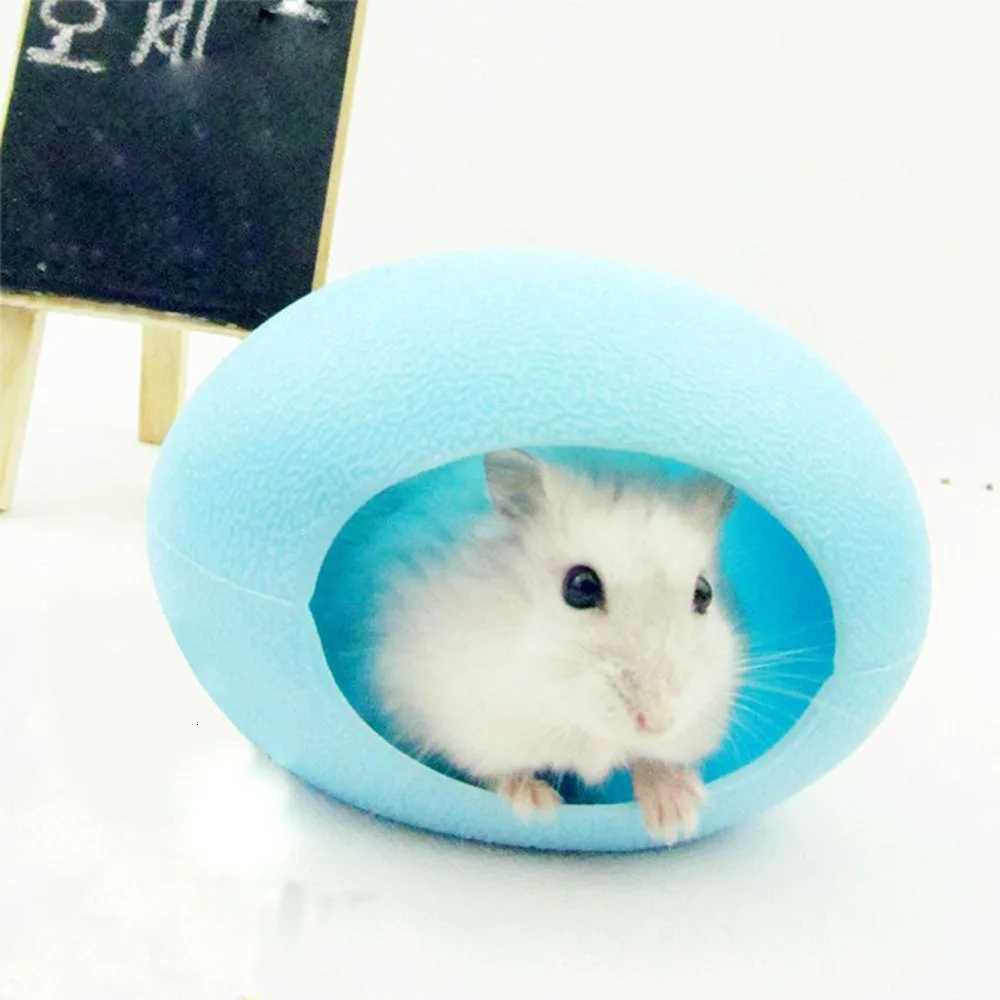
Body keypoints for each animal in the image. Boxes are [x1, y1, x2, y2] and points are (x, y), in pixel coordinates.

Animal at [373, 450, 741, 844]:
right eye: (580, 586)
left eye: (704, 593)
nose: (658, 723)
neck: (577, 717)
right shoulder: (466, 717)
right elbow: (496, 769)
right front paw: (538, 808)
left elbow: (651, 759)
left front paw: (676, 818)